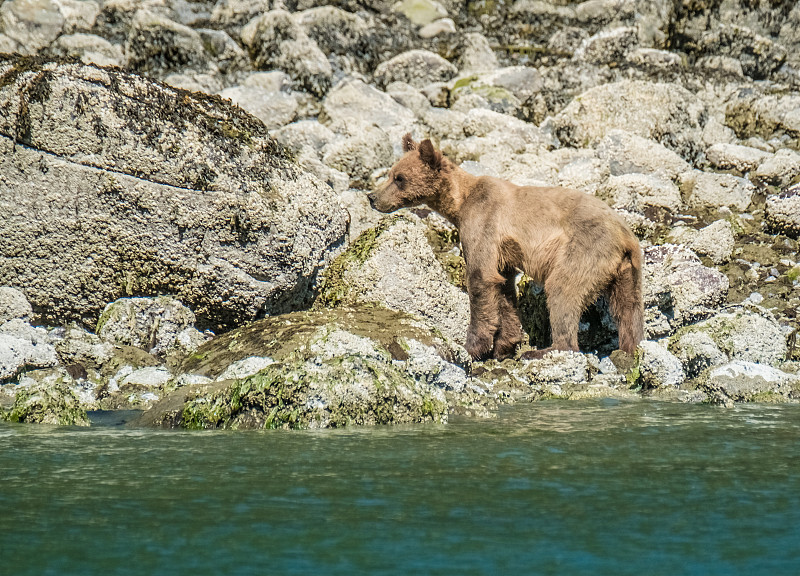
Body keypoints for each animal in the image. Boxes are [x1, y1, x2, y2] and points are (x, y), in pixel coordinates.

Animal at [368, 134, 644, 360]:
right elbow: (505, 291)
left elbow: (480, 279)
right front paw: (505, 345)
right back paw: (630, 349)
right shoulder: (504, 253)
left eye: (399, 178)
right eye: (391, 173)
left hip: (585, 248)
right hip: (626, 270)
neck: (459, 204)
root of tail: (626, 236)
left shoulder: (483, 223)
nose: (372, 197)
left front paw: (474, 347)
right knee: (627, 309)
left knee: (563, 289)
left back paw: (547, 349)